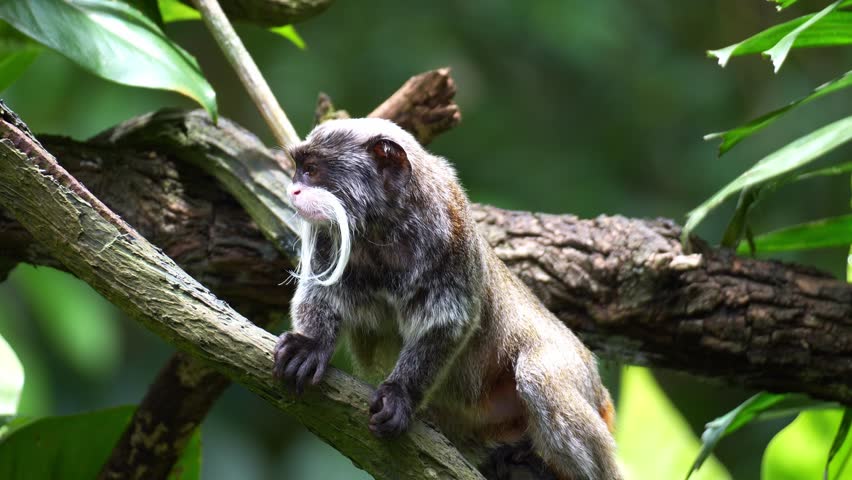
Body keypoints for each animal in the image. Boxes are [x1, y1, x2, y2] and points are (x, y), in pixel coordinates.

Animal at [272, 118, 622, 480]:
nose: (293, 191)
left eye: (311, 170)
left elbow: (447, 322)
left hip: (577, 373)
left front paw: (400, 395)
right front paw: (310, 346)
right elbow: (320, 294)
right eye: (298, 170)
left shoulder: (453, 231)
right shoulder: (327, 237)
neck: (383, 229)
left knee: (539, 376)